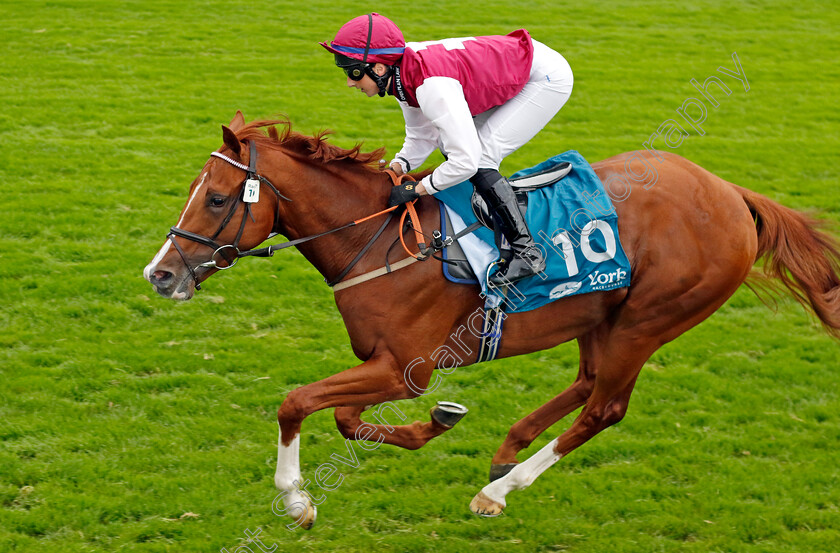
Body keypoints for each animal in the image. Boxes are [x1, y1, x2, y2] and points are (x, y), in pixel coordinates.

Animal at [144, 111, 840, 528]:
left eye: (215, 198)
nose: (161, 274)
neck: (379, 241)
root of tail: (732, 194)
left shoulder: (406, 368)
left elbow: (296, 402)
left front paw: (296, 500)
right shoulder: (388, 367)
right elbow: (342, 418)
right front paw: (435, 425)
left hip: (648, 319)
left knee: (604, 408)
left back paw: (499, 490)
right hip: (603, 315)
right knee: (588, 384)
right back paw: (506, 453)